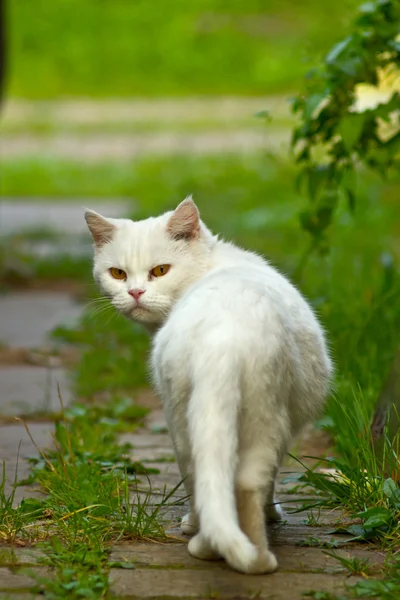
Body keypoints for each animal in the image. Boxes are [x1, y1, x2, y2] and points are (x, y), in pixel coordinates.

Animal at [86, 198, 332, 576]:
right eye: (118, 274)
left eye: (160, 271)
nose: (135, 292)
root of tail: (223, 337)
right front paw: (273, 514)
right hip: (262, 418)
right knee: (244, 485)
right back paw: (250, 556)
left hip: (186, 417)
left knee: (209, 479)